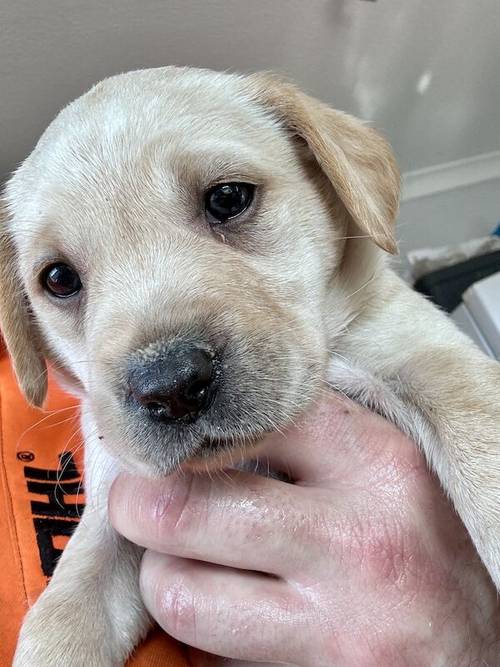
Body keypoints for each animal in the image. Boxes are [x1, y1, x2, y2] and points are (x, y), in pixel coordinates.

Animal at [2, 66, 500, 664]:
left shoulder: (428, 359)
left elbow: (480, 447)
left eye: (227, 198)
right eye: (58, 279)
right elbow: (65, 614)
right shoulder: (110, 510)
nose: (170, 386)